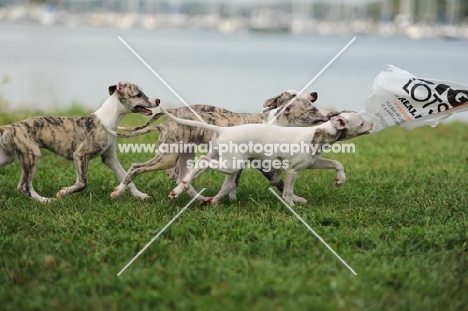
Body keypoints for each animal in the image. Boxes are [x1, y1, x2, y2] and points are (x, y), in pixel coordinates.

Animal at [0, 81, 159, 202]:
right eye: (138, 94)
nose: (158, 100)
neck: (106, 120)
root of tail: (7, 128)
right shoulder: (80, 155)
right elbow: (82, 183)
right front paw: (63, 192)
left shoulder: (110, 158)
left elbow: (127, 179)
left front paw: (140, 195)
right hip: (33, 155)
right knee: (23, 186)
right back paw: (46, 201)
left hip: (8, 158)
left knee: (25, 185)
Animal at [163, 107, 374, 207]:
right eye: (361, 123)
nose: (372, 124)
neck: (318, 134)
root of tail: (222, 130)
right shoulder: (292, 171)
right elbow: (287, 192)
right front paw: (292, 206)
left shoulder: (313, 163)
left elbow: (336, 162)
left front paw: (341, 179)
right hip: (232, 164)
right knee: (202, 162)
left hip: (224, 158)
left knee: (198, 170)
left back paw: (182, 190)